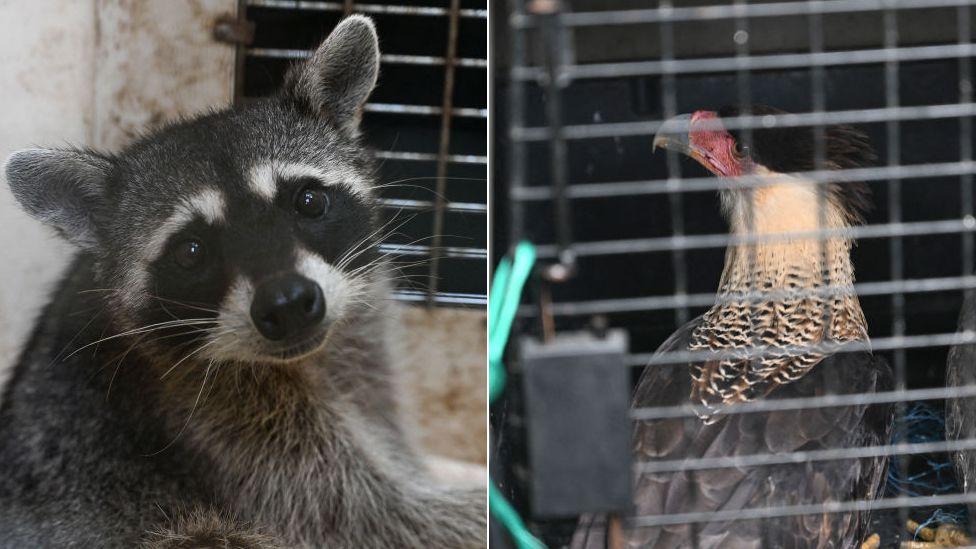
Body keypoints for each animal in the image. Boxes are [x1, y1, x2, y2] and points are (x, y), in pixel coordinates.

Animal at [0, 15, 486, 544]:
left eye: (309, 201)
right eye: (191, 252)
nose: (288, 303)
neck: (311, 359)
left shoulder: (362, 358)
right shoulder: (214, 426)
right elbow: (378, 519)